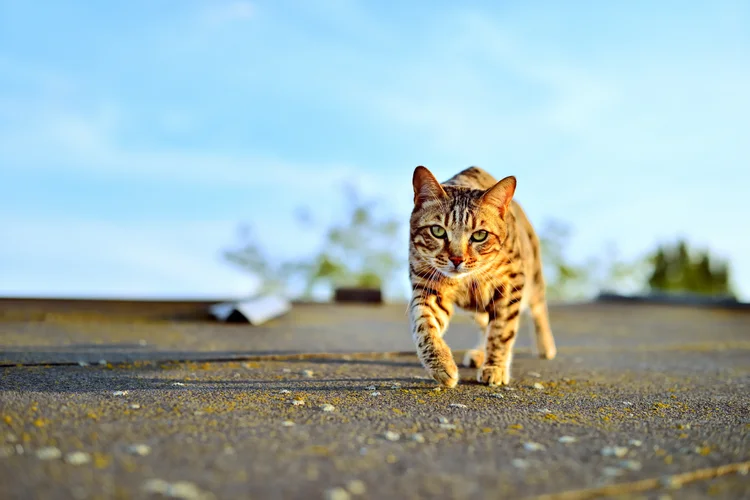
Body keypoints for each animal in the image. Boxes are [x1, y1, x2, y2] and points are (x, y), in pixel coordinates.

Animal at [408, 166, 556, 388]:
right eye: (437, 231)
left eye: (480, 235)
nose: (456, 259)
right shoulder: (428, 286)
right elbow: (424, 324)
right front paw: (442, 364)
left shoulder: (511, 284)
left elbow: (501, 331)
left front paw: (495, 367)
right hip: (476, 307)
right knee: (484, 324)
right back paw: (478, 354)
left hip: (534, 277)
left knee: (538, 309)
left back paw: (545, 346)